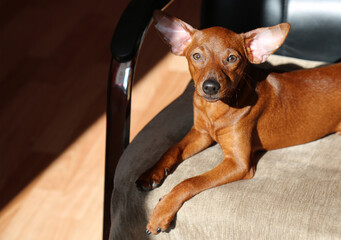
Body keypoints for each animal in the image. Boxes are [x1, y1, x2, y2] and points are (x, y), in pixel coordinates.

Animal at [135, 10, 340, 233]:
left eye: (232, 58)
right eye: (197, 56)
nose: (210, 87)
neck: (215, 110)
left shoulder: (238, 163)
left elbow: (190, 181)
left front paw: (161, 211)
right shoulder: (201, 135)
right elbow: (171, 149)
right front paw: (151, 172)